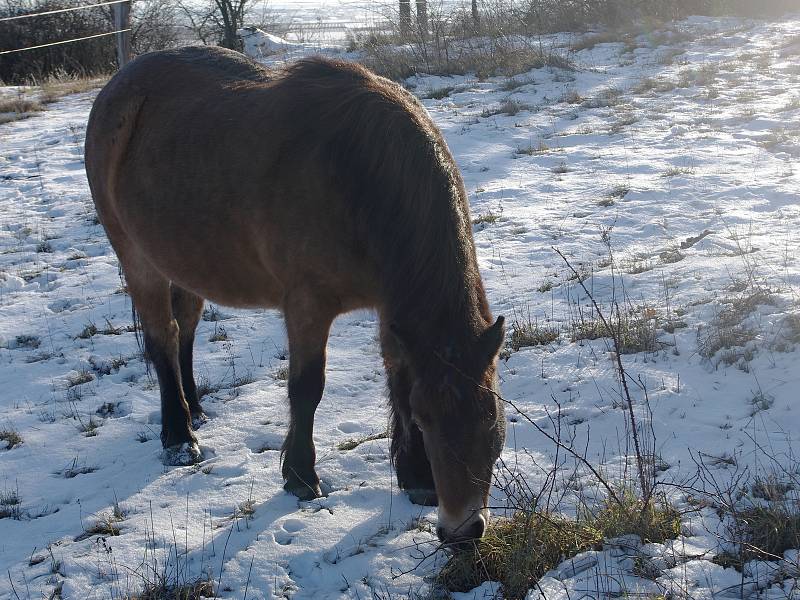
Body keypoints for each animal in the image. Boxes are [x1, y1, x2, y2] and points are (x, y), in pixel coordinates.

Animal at [84, 47, 504, 544]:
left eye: (493, 419)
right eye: (427, 422)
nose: (462, 529)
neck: (354, 172)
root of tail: (116, 88)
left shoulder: (391, 309)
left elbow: (398, 378)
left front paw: (415, 476)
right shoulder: (308, 305)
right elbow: (308, 388)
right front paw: (301, 477)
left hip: (183, 261)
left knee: (184, 328)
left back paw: (196, 409)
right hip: (137, 259)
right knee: (162, 337)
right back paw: (180, 438)